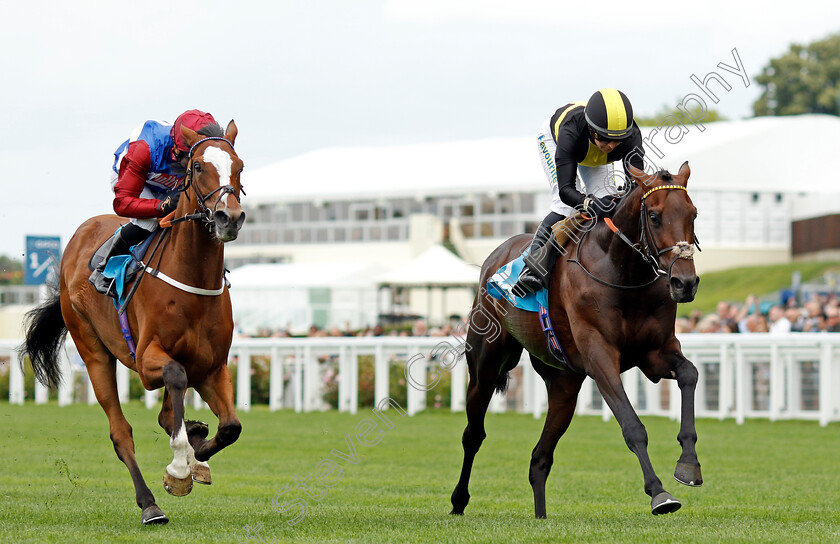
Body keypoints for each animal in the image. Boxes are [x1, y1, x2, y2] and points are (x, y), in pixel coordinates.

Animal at [20, 121, 246, 524]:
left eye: (240, 166)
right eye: (198, 166)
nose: (229, 218)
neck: (192, 279)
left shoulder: (212, 366)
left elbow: (230, 427)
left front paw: (195, 454)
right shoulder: (145, 361)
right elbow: (174, 378)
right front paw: (179, 468)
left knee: (170, 414)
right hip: (93, 351)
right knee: (121, 433)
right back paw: (150, 505)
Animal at [452, 162, 704, 520]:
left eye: (693, 214)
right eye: (654, 216)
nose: (685, 283)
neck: (623, 272)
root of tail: (496, 256)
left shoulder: (655, 353)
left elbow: (689, 374)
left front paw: (688, 464)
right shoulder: (600, 357)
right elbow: (632, 426)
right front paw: (659, 493)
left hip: (564, 384)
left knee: (539, 458)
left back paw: (541, 516)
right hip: (485, 365)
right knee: (473, 434)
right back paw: (458, 501)